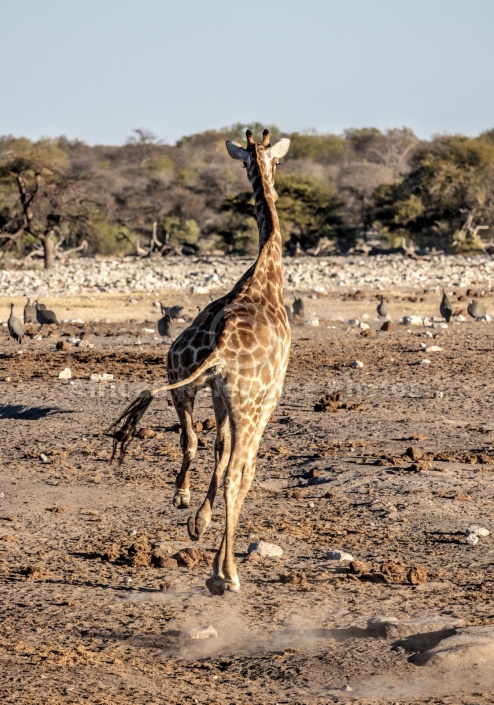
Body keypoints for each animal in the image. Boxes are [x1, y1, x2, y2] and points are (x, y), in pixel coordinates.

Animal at [109, 128, 290, 592]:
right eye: (278, 162)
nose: (273, 175)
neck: (266, 276)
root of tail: (223, 348)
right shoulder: (268, 398)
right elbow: (238, 470)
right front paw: (214, 549)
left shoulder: (216, 392)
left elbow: (216, 447)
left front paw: (197, 520)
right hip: (249, 404)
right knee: (238, 474)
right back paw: (225, 574)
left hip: (184, 377)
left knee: (192, 440)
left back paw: (183, 500)